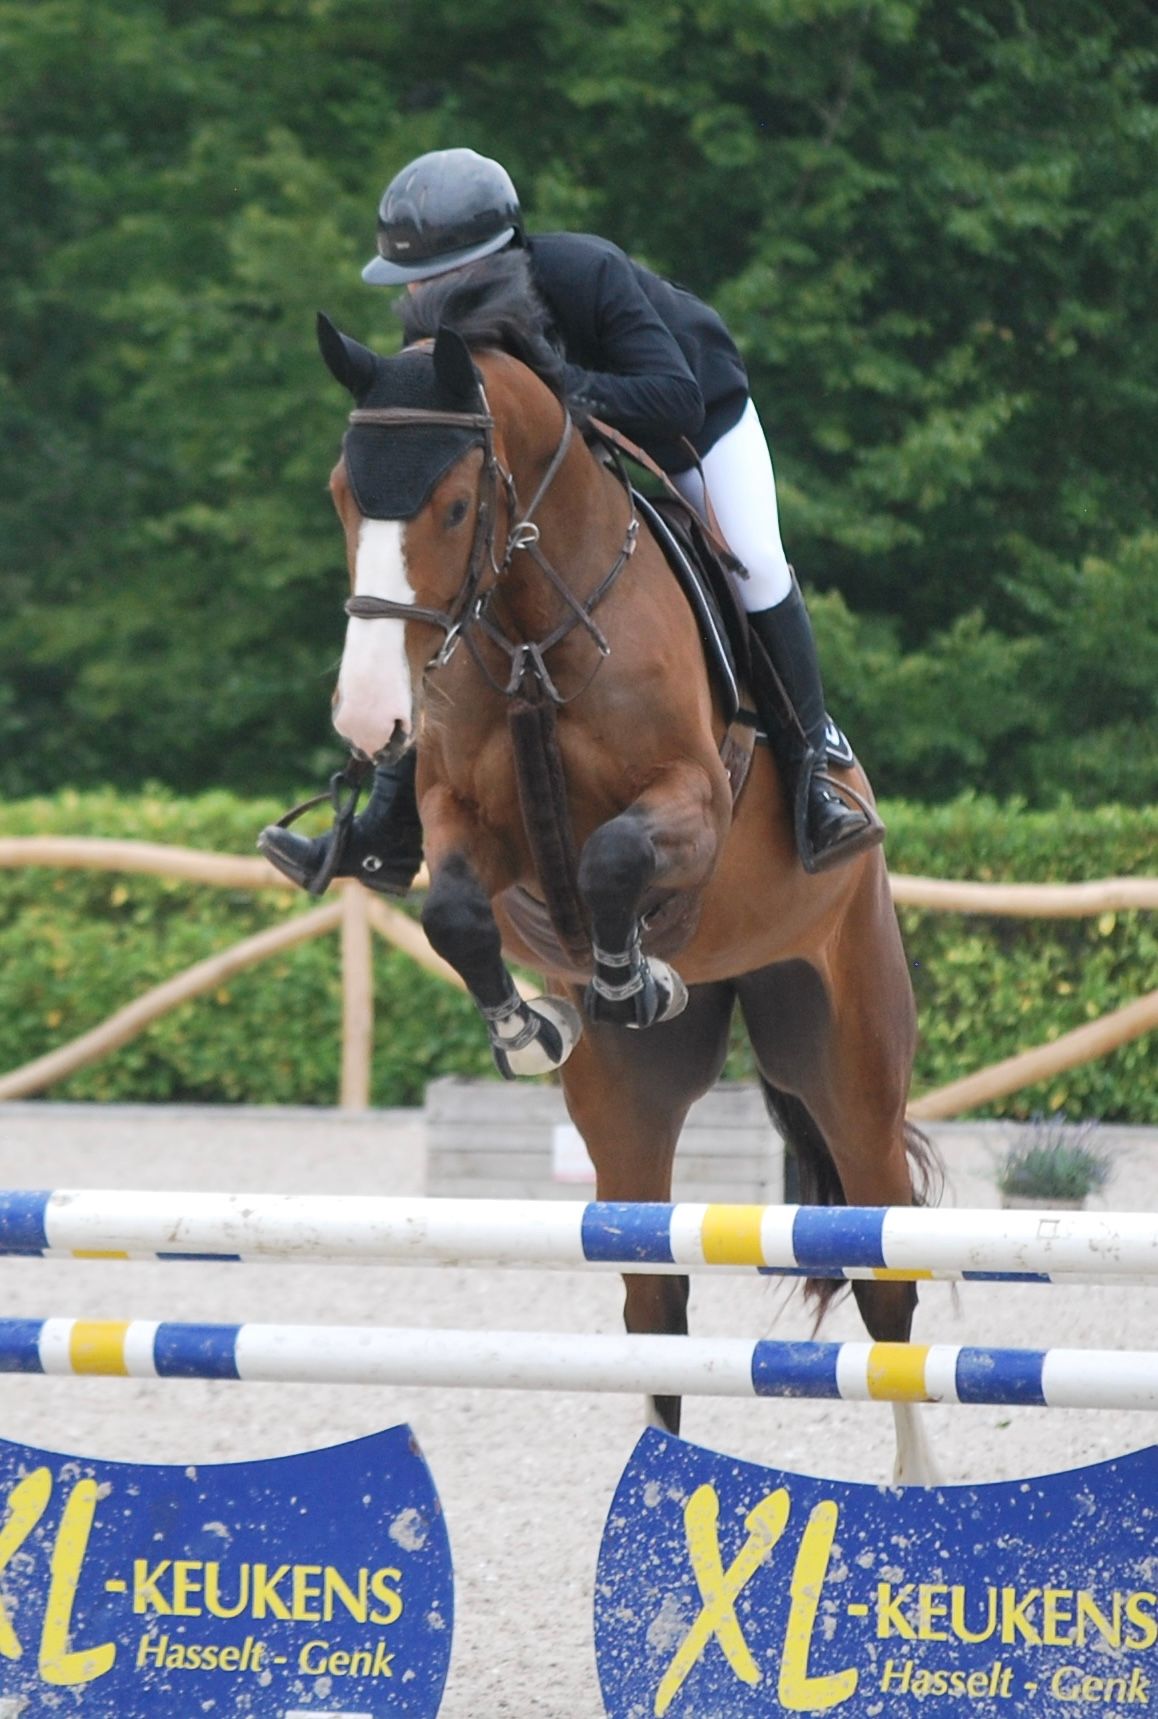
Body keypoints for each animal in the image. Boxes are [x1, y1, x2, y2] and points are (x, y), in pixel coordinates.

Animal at [314, 261, 940, 1483]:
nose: (368, 717)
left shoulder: (691, 802)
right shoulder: (463, 819)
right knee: (657, 1303)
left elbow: (611, 857)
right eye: (341, 496)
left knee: (886, 1288)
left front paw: (626, 973)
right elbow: (454, 911)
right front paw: (534, 1023)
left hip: (849, 1059)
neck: (526, 626)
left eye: (452, 506)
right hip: (629, 1104)